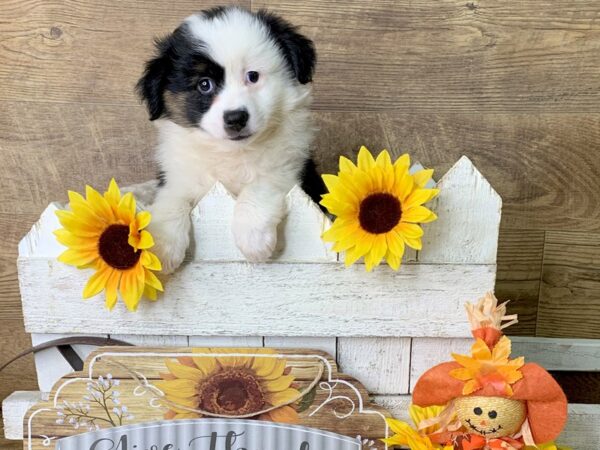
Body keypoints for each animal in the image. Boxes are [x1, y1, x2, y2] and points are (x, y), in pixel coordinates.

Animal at [137, 7, 324, 272]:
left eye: (253, 76)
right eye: (204, 84)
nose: (236, 118)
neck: (232, 152)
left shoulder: (289, 165)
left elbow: (260, 184)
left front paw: (253, 237)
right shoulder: (177, 177)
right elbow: (172, 201)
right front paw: (161, 245)